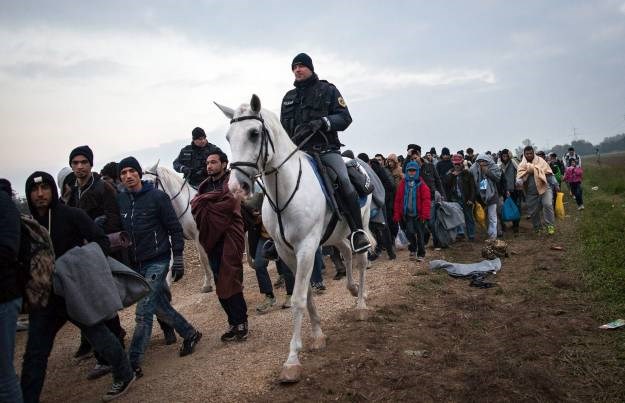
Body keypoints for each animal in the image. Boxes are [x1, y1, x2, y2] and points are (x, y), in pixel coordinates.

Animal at [216, 94, 370, 382]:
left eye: (254, 133)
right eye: (229, 137)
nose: (236, 187)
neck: (283, 192)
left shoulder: (307, 248)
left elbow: (298, 298)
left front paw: (292, 360)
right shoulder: (287, 252)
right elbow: (306, 294)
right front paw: (318, 335)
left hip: (360, 225)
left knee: (362, 260)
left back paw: (361, 304)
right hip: (334, 235)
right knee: (345, 252)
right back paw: (353, 288)